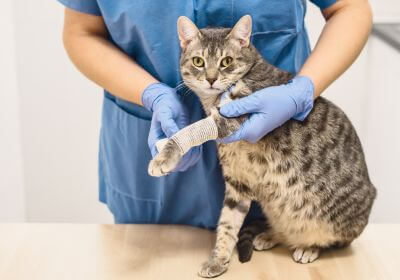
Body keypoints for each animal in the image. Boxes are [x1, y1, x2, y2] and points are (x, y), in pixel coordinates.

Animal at [146, 15, 376, 278]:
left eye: (226, 61)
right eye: (198, 61)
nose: (211, 79)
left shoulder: (236, 117)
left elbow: (191, 131)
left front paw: (164, 157)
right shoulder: (238, 182)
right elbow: (228, 224)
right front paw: (219, 258)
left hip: (338, 224)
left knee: (333, 240)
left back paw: (309, 247)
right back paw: (269, 235)